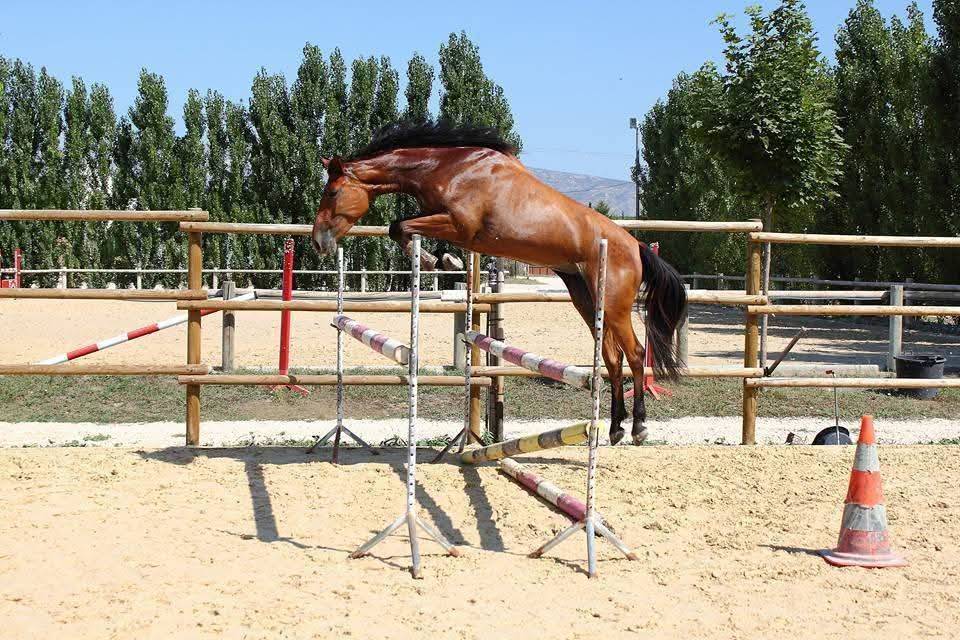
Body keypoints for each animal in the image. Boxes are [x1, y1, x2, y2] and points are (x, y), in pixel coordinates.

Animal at [311, 122, 687, 445]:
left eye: (332, 192)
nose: (318, 242)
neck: (445, 168)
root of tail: (634, 246)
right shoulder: (448, 224)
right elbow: (399, 226)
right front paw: (445, 260)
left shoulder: (459, 224)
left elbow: (400, 226)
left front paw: (437, 261)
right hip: (587, 298)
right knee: (611, 357)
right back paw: (614, 428)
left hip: (615, 304)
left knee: (634, 354)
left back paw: (638, 427)